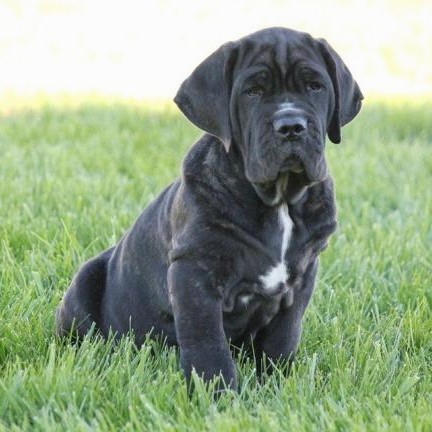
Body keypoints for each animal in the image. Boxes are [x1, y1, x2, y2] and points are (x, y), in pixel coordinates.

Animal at [55, 27, 362, 392]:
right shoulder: (194, 273)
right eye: (252, 92)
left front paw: (276, 383)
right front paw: (217, 392)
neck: (280, 201)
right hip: (84, 281)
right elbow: (206, 340)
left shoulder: (302, 277)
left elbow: (284, 337)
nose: (291, 126)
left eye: (315, 86)